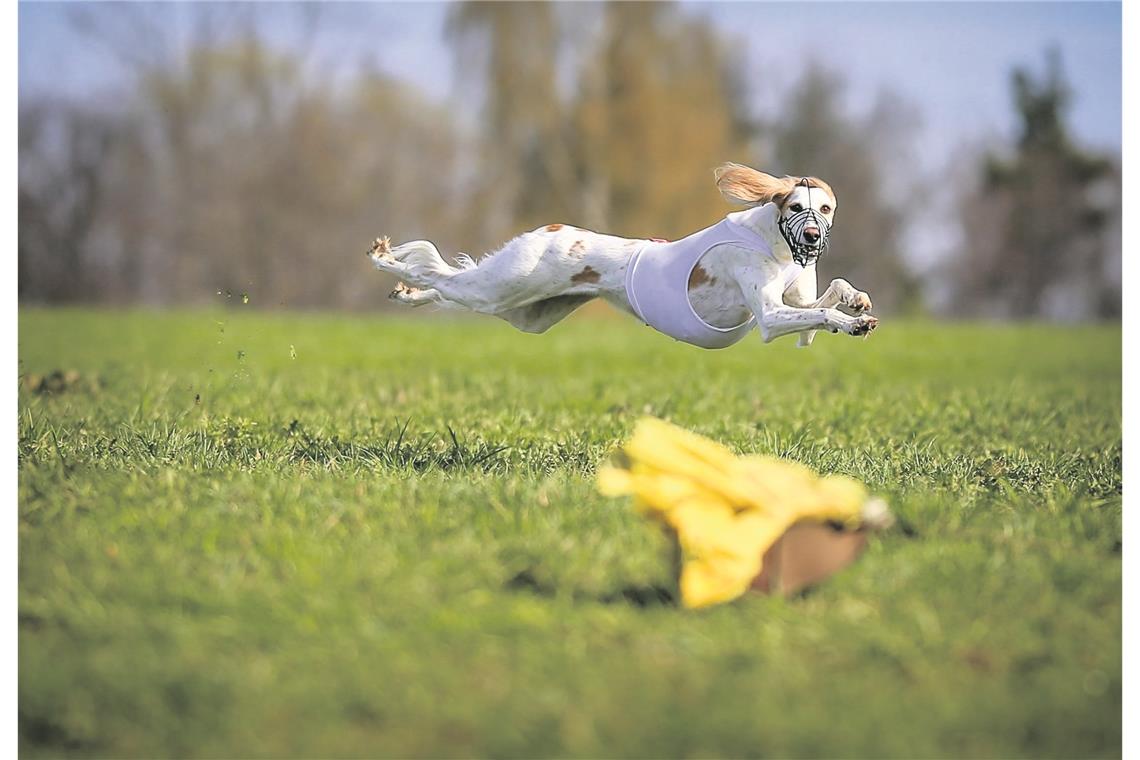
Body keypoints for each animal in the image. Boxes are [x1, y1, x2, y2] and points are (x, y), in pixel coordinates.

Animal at [369, 165, 875, 348]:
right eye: (794, 206)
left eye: (824, 208)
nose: (811, 237)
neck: (776, 244)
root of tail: (553, 229)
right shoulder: (769, 317)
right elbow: (820, 312)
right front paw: (850, 322)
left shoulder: (795, 303)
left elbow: (827, 296)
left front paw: (859, 302)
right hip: (505, 286)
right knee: (444, 277)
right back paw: (385, 260)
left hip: (527, 312)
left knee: (446, 284)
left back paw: (405, 292)